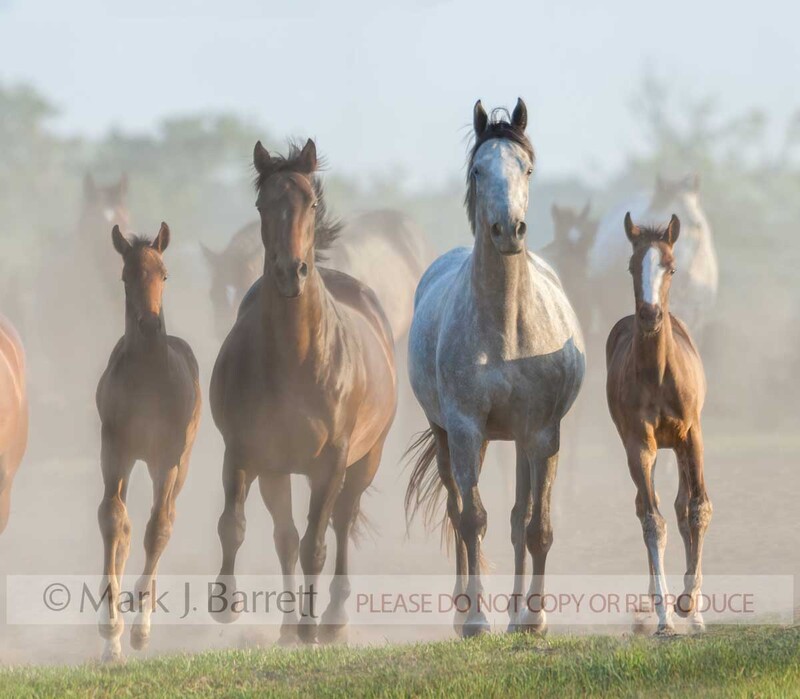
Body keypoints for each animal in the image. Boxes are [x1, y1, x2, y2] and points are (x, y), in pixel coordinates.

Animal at [210, 139, 397, 645]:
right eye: (262, 204)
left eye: (310, 202)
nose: (290, 273)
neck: (294, 358)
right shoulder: (247, 453)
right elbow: (239, 527)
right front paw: (227, 606)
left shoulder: (330, 463)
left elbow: (316, 544)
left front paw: (312, 628)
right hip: (280, 471)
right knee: (288, 537)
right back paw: (289, 627)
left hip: (363, 463)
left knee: (339, 525)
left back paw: (331, 621)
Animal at [405, 99, 585, 638]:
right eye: (477, 170)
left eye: (526, 168)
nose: (509, 230)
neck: (508, 326)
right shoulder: (466, 428)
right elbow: (471, 520)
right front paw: (476, 619)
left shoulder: (543, 432)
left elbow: (536, 526)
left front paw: (534, 616)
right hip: (453, 437)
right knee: (456, 508)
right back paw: (467, 609)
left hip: (520, 442)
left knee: (518, 517)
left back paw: (515, 612)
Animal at [606, 212, 712, 635]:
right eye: (632, 266)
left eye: (671, 267)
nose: (649, 315)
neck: (658, 374)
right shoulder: (640, 445)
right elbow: (653, 521)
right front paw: (666, 618)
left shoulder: (691, 436)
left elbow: (696, 510)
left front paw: (690, 606)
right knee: (645, 508)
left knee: (683, 507)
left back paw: (693, 611)